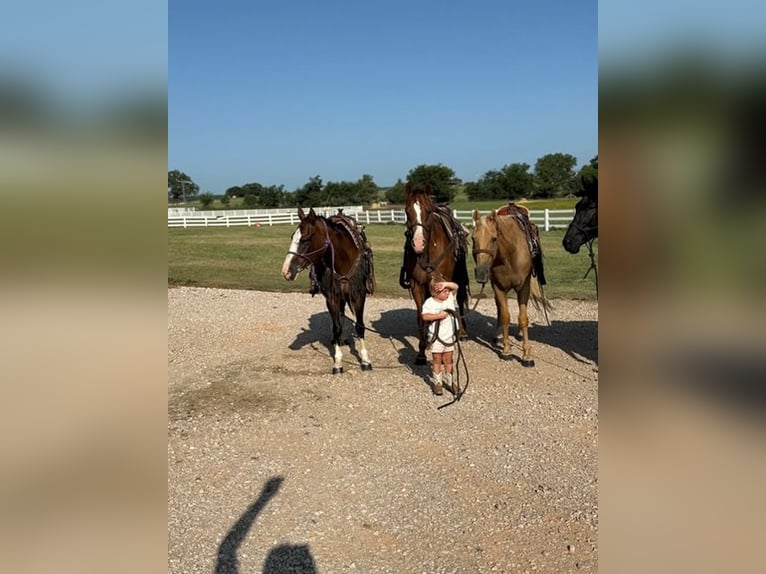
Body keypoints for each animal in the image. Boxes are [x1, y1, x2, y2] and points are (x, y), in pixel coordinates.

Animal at [281, 207, 375, 374]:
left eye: (305, 239)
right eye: (293, 236)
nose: (286, 271)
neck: (344, 260)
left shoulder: (358, 295)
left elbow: (359, 326)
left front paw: (365, 360)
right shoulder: (332, 297)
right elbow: (336, 326)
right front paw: (338, 361)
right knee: (339, 318)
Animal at [401, 182, 470, 365]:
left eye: (428, 211)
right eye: (406, 211)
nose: (418, 243)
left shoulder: (445, 282)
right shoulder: (417, 286)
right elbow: (421, 315)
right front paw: (421, 352)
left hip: (460, 276)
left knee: (461, 299)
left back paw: (462, 332)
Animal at [471, 206, 551, 366]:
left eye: (494, 238)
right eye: (473, 239)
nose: (481, 273)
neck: (509, 254)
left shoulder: (523, 288)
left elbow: (523, 318)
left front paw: (527, 355)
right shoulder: (499, 288)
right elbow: (505, 316)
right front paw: (507, 350)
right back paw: (498, 335)